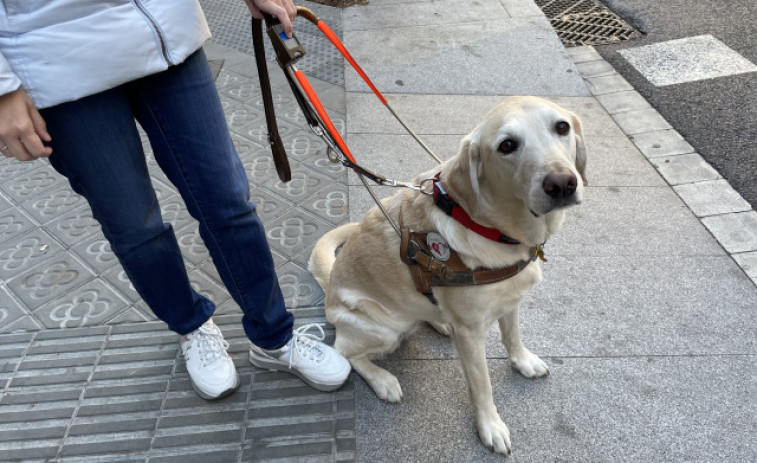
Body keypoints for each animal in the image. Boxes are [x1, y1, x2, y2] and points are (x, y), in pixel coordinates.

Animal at [310, 96, 588, 454]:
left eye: (562, 127)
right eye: (507, 145)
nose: (562, 183)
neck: (494, 229)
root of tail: (330, 285)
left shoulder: (510, 300)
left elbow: (512, 336)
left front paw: (522, 361)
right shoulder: (470, 334)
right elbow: (481, 385)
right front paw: (490, 426)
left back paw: (438, 321)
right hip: (381, 327)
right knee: (346, 351)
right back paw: (383, 380)